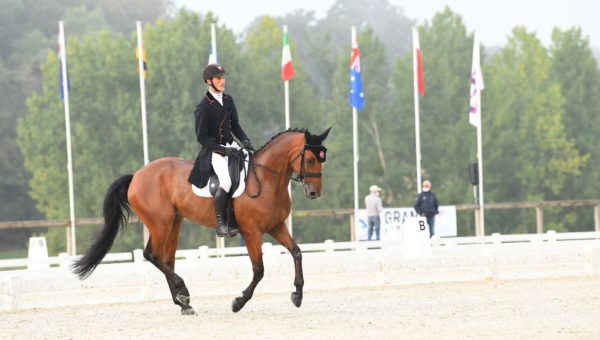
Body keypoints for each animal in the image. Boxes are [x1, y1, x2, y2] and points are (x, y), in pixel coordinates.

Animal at [74, 128, 332, 316]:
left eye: (322, 160)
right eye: (310, 159)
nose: (314, 192)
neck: (267, 180)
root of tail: (136, 175)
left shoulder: (276, 226)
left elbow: (297, 252)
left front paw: (297, 295)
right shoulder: (251, 232)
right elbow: (259, 270)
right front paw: (238, 302)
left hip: (174, 223)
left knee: (166, 259)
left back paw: (183, 302)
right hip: (160, 224)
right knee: (152, 255)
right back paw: (184, 293)